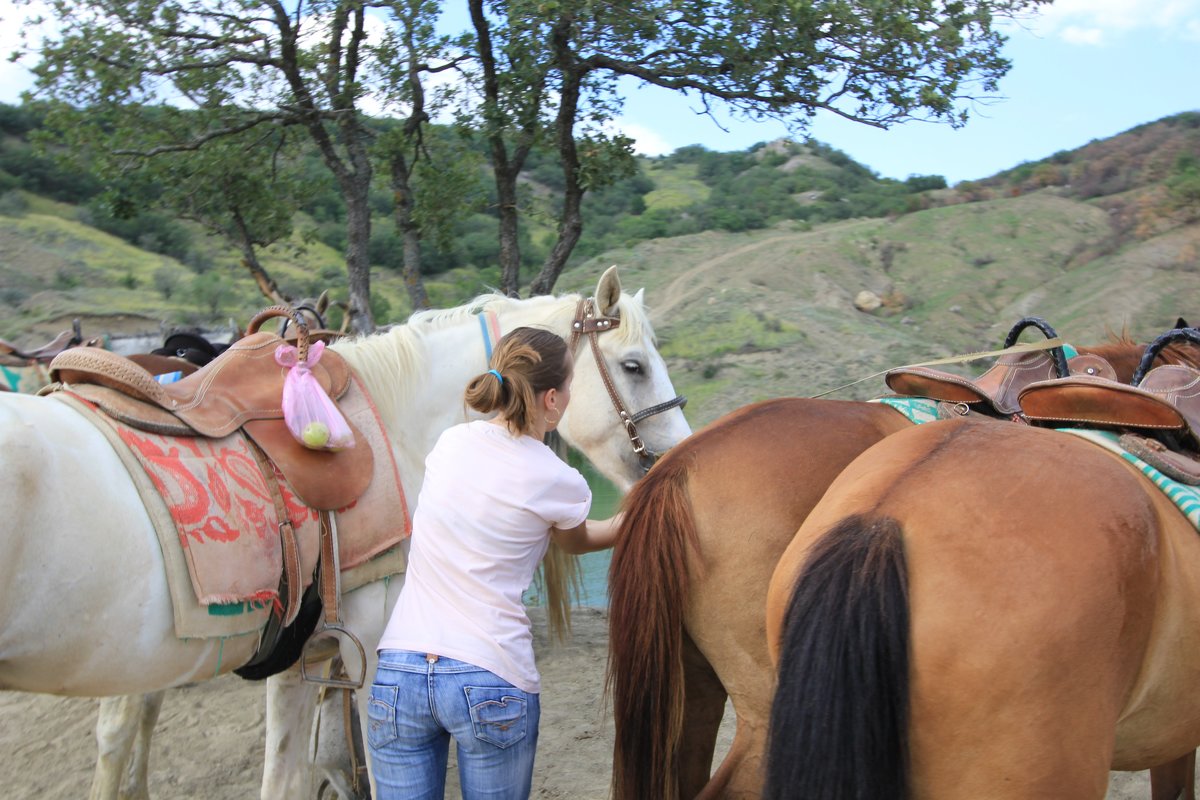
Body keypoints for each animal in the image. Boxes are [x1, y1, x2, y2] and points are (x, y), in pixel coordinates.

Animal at [0, 268, 691, 800]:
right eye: (633, 366)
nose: (675, 460)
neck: (393, 424)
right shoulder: (378, 659)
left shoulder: (297, 661)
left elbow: (284, 779)